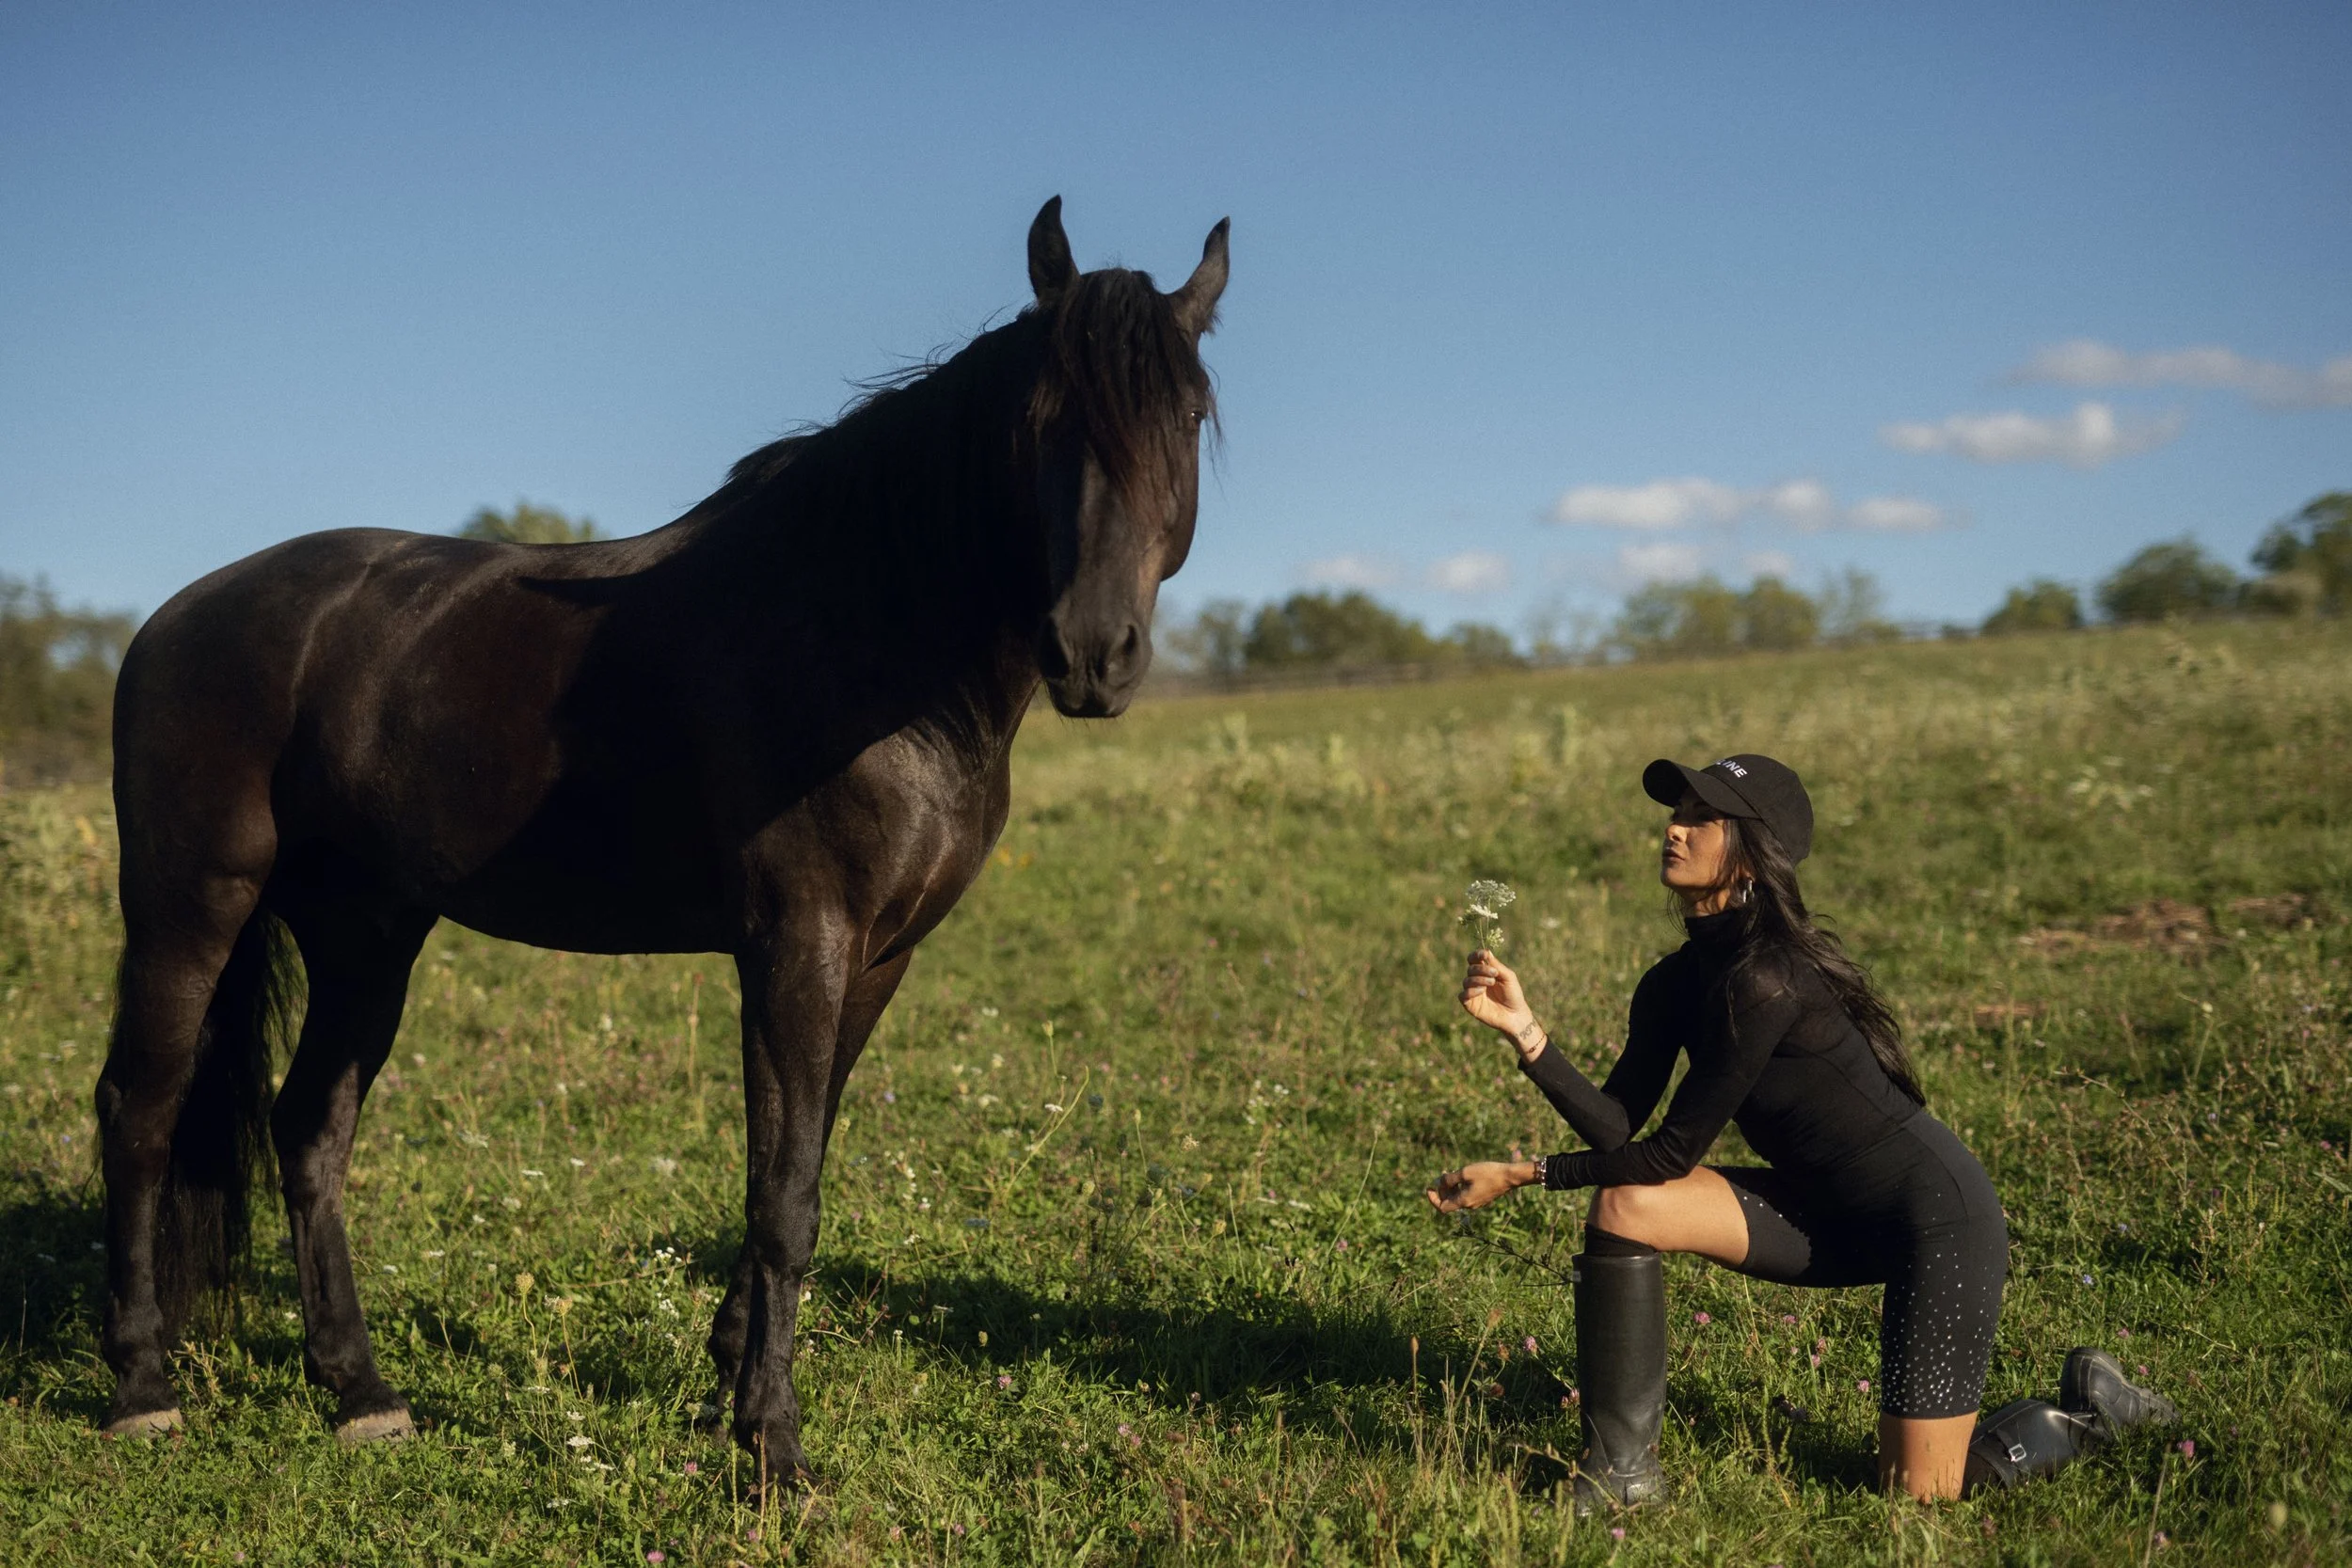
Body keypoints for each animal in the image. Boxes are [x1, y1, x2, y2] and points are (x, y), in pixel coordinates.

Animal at [93, 197, 1228, 1481]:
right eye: (1040, 420)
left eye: (1187, 416)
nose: (1093, 653)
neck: (870, 637)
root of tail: (177, 617)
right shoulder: (795, 946)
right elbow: (785, 1193)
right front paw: (772, 1442)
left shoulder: (877, 958)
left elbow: (795, 1163)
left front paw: (728, 1379)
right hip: (190, 905)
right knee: (140, 1110)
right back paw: (141, 1385)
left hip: (364, 936)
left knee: (308, 1130)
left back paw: (360, 1388)